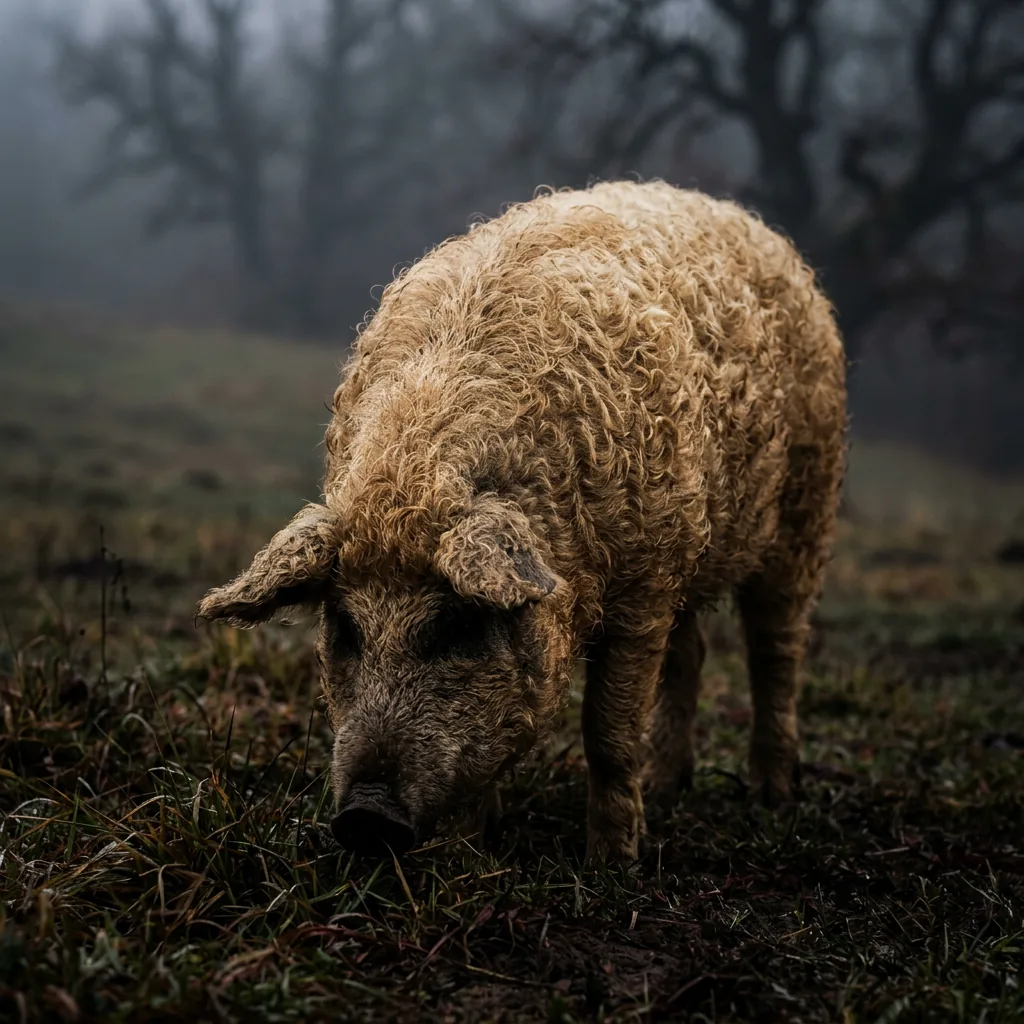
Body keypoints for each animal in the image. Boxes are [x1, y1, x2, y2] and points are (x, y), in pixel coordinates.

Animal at [197, 180, 847, 864]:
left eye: (457, 625)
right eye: (345, 626)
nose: (365, 819)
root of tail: (747, 221)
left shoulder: (644, 586)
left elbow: (609, 731)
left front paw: (611, 865)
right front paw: (468, 853)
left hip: (807, 503)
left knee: (775, 646)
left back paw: (771, 796)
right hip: (696, 549)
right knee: (691, 651)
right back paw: (668, 789)